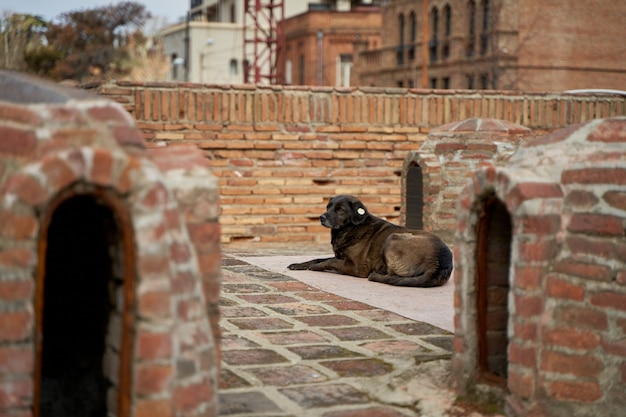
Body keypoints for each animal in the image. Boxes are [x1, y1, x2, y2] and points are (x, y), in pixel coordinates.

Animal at [286, 194, 450, 286]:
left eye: (340, 210)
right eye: (328, 206)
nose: (321, 217)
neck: (348, 229)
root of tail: (440, 261)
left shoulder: (356, 267)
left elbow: (328, 261)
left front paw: (315, 267)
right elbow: (317, 258)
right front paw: (299, 265)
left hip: (393, 238)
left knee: (391, 276)